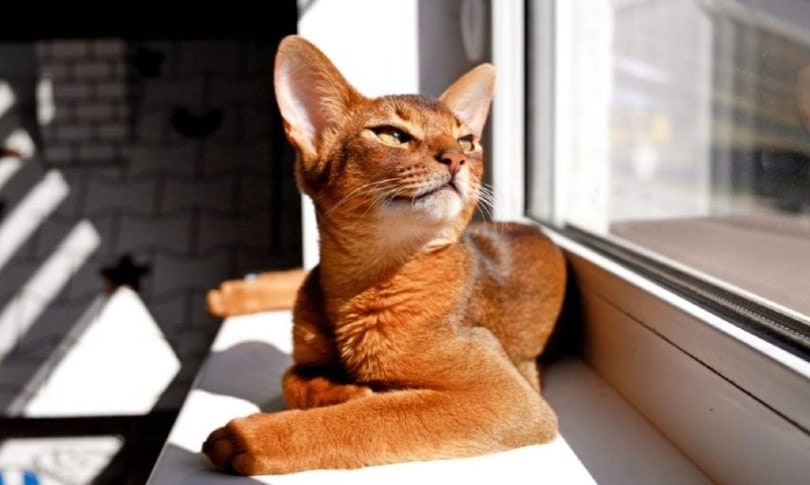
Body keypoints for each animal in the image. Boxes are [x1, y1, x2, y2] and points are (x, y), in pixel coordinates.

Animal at [202, 36, 564, 474]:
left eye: (466, 141)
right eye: (392, 134)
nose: (456, 158)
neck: (362, 284)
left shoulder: (509, 395)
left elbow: (372, 416)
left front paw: (250, 439)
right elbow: (290, 375)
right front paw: (342, 389)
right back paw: (228, 295)